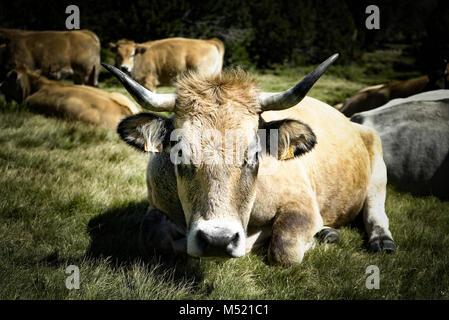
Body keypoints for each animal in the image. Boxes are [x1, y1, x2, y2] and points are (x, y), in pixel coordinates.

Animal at [102, 53, 396, 266]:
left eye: (254, 153)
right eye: (179, 151)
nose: (217, 240)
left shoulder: (302, 206)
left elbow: (285, 248)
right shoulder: (155, 206)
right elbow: (153, 236)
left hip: (378, 170)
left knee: (375, 211)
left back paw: (379, 241)